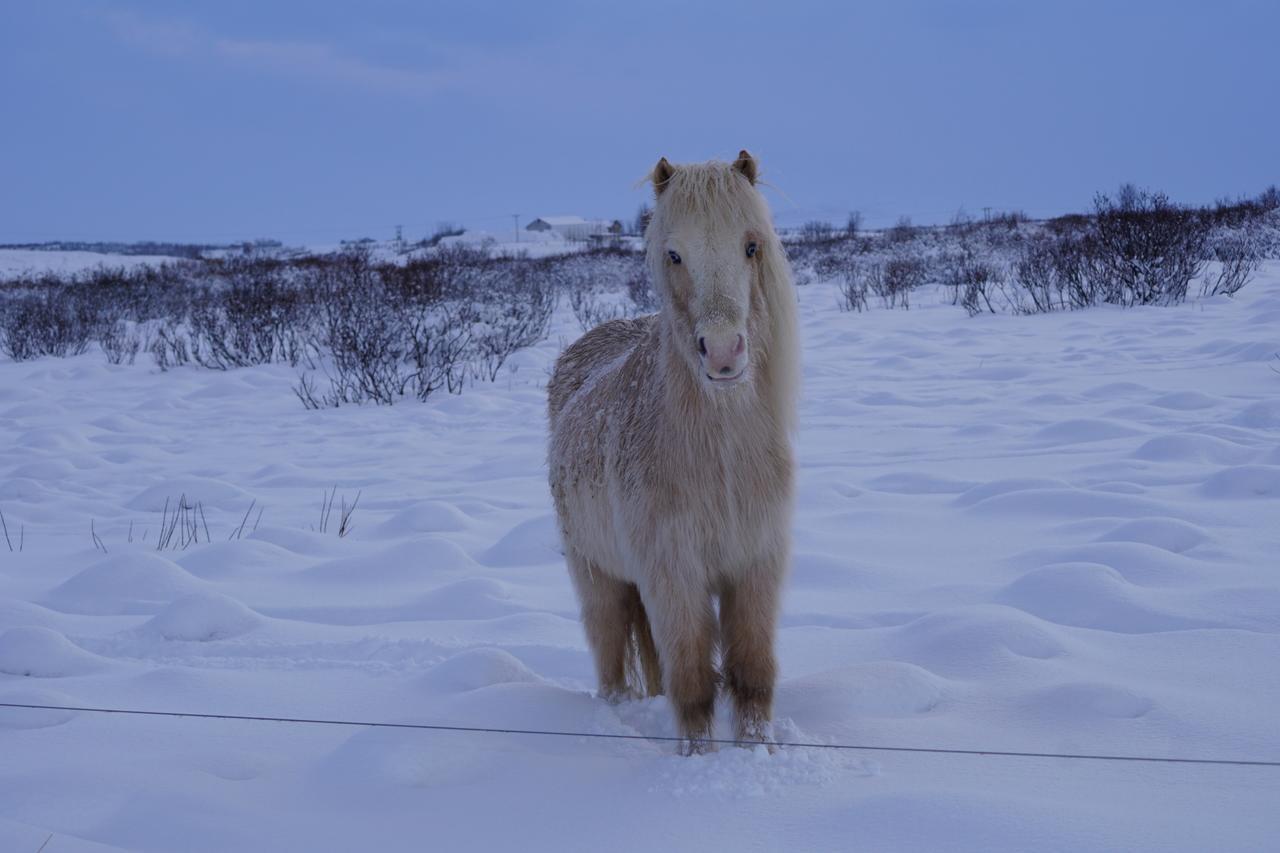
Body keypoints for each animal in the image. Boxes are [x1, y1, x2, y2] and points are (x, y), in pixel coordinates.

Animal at [550, 151, 798, 753]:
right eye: (674, 253)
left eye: (751, 245)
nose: (724, 353)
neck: (721, 457)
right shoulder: (674, 575)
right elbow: (691, 678)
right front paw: (698, 758)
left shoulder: (756, 565)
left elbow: (752, 673)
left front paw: (757, 752)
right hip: (598, 575)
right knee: (610, 648)